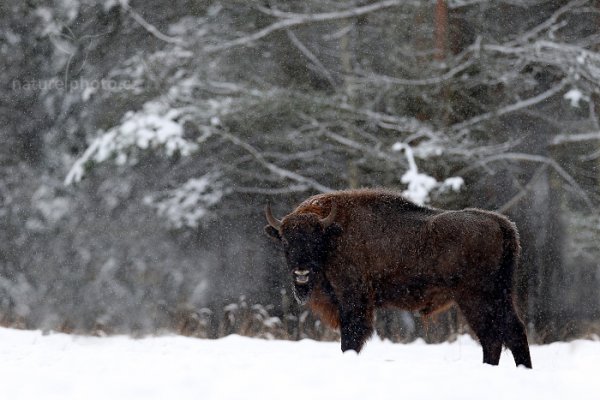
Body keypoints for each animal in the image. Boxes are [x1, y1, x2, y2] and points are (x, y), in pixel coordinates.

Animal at [264, 188, 532, 368]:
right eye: (286, 241)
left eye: (315, 240)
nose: (301, 272)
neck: (333, 234)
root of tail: (501, 223)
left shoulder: (353, 301)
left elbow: (350, 339)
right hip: (500, 295)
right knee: (511, 331)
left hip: (474, 297)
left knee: (493, 335)